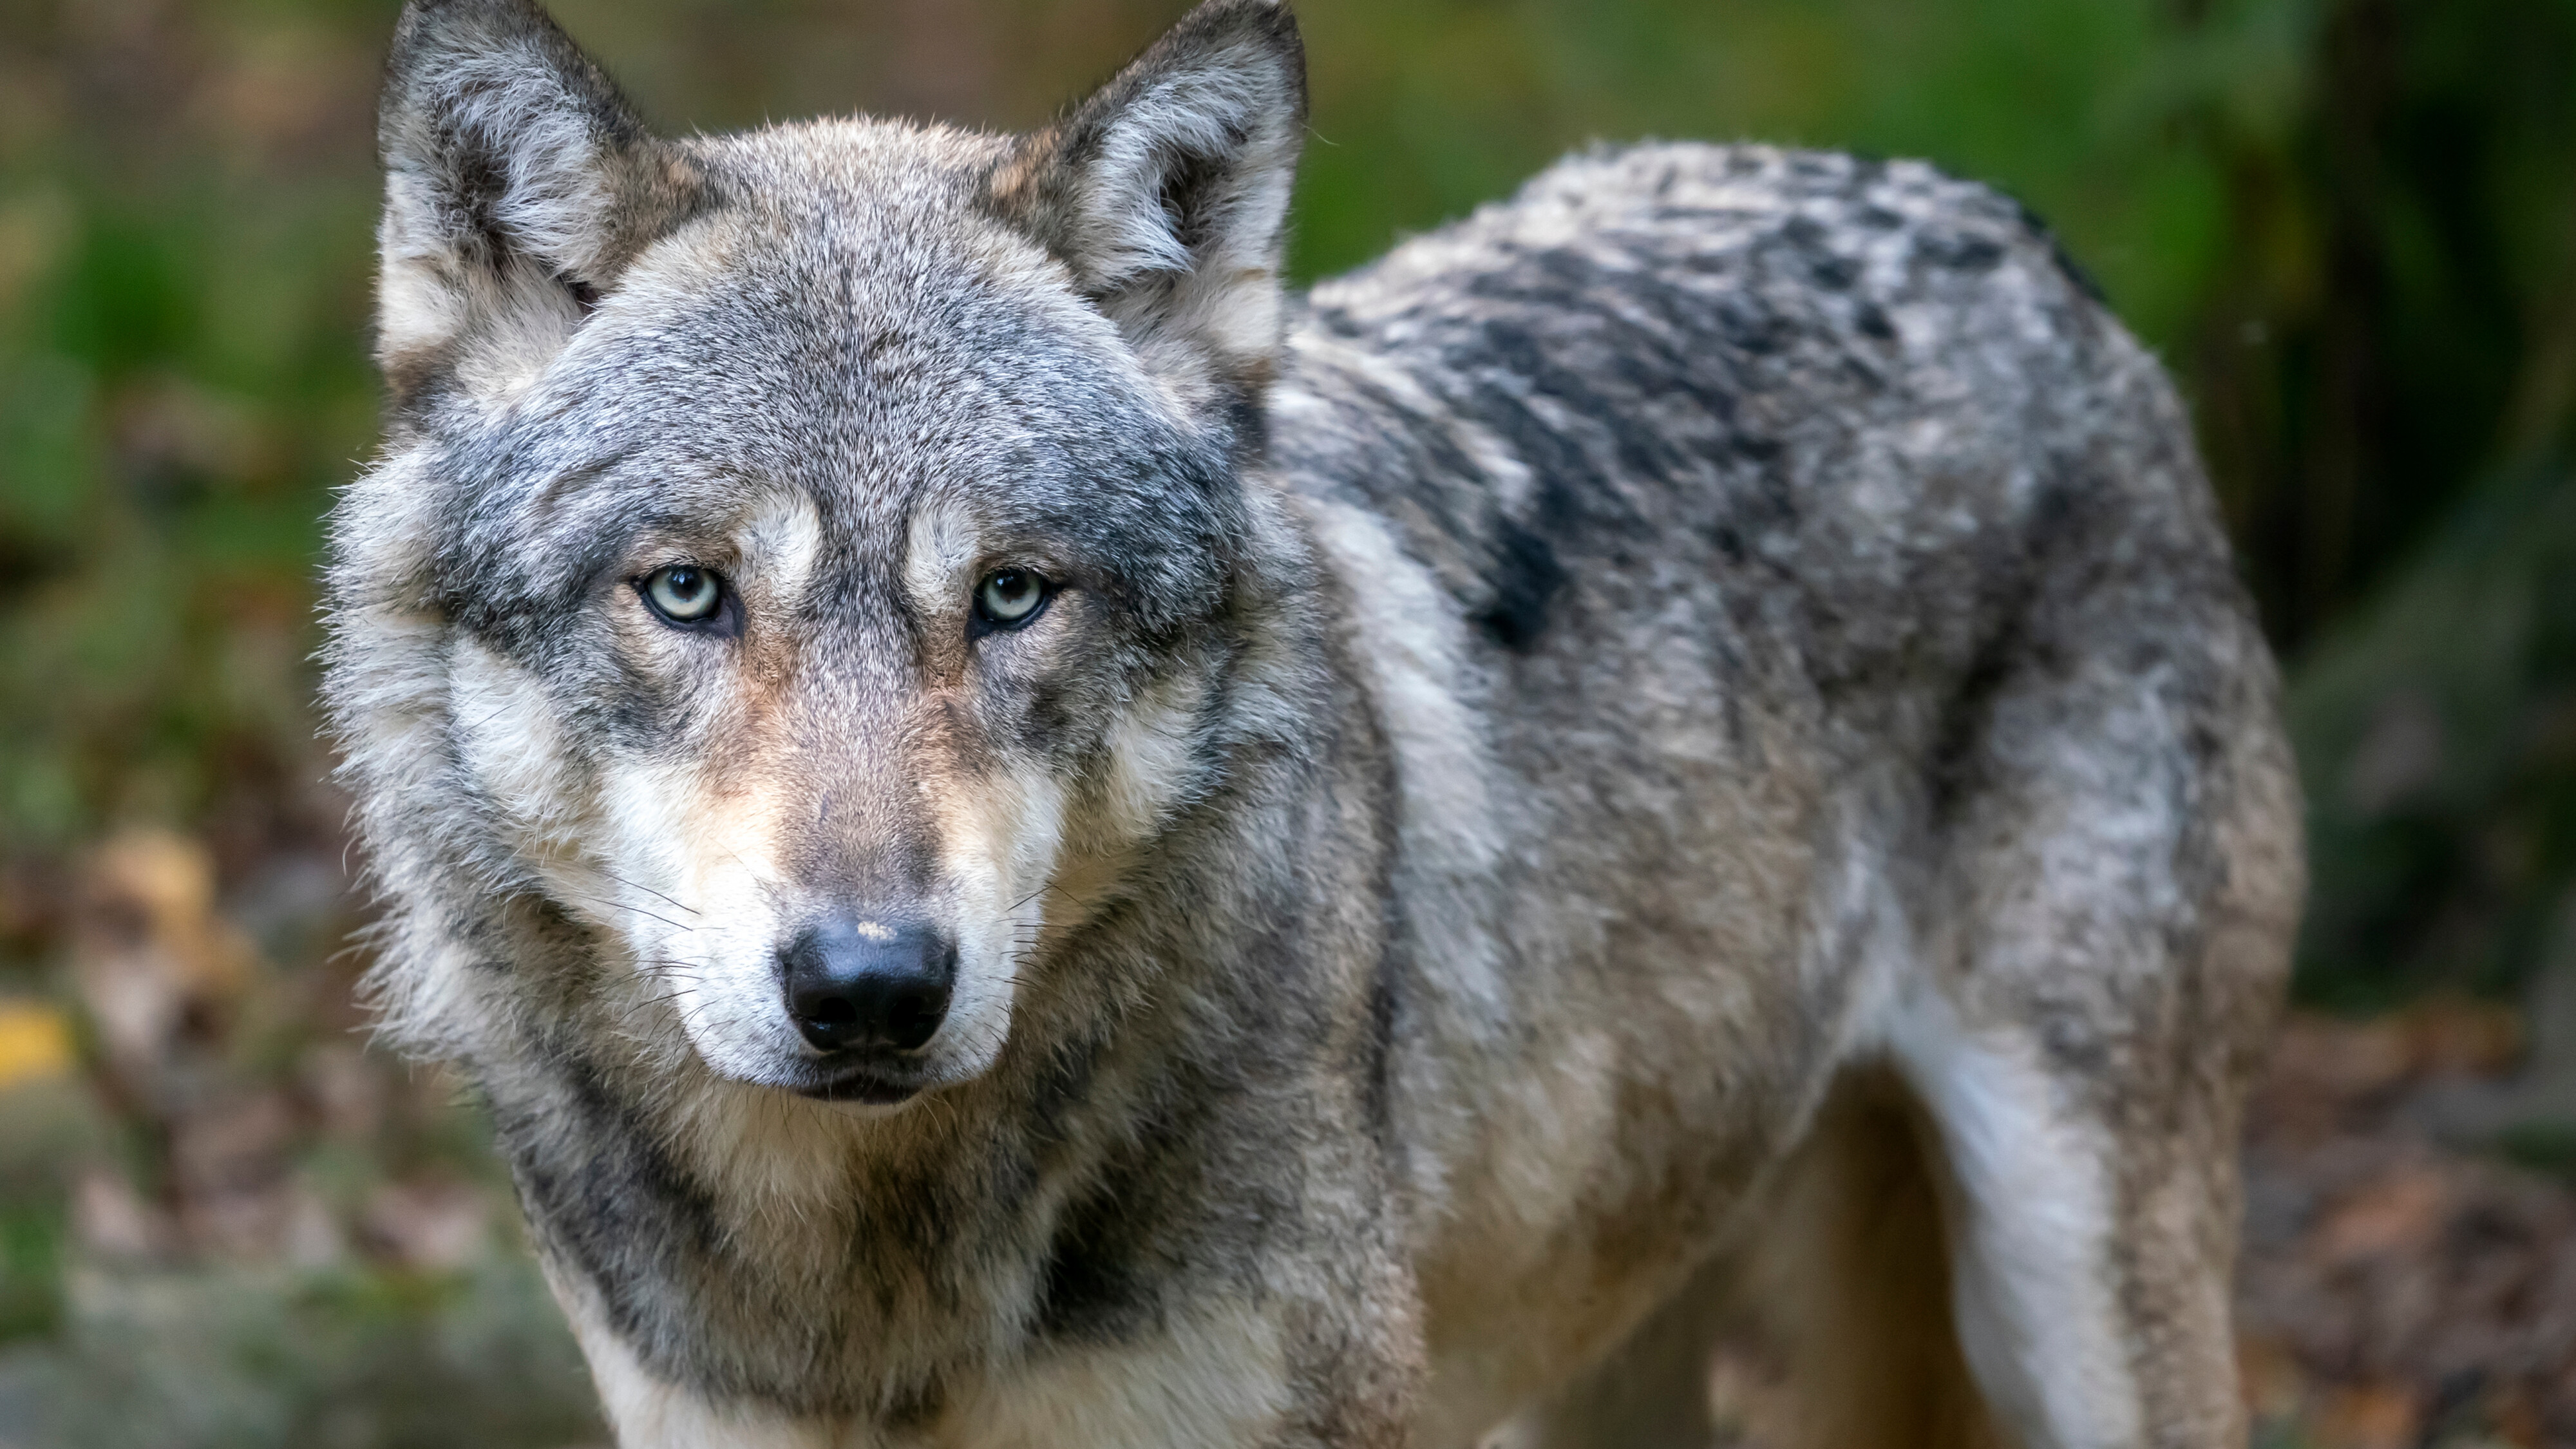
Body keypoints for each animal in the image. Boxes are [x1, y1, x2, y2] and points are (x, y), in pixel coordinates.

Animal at [323, 0, 2303, 1444]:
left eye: (1015, 595)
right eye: (687, 593)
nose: (872, 986)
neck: (879, 1276)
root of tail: (2013, 234)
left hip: (2073, 1278)